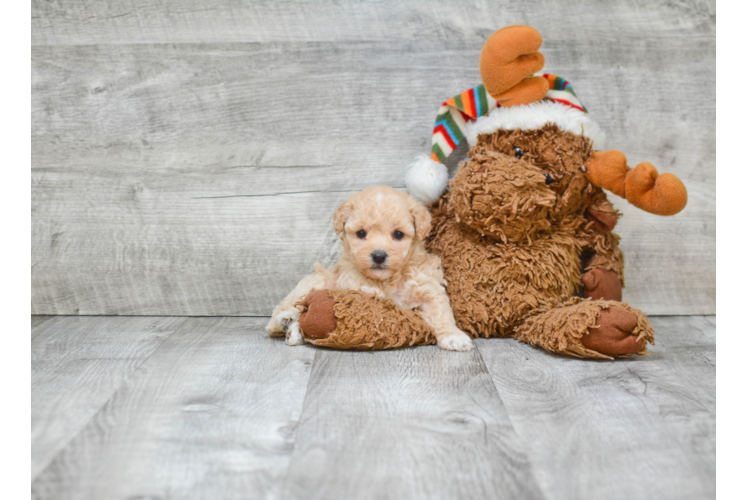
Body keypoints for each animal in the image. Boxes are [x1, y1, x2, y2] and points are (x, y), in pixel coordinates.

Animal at [268, 186, 474, 354]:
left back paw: (293, 332)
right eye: (361, 233)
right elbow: (363, 290)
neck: (388, 279)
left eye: (398, 234)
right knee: (281, 313)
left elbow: (441, 312)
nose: (379, 256)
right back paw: (285, 321)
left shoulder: (427, 286)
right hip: (313, 283)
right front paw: (373, 292)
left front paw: (453, 336)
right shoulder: (348, 278)